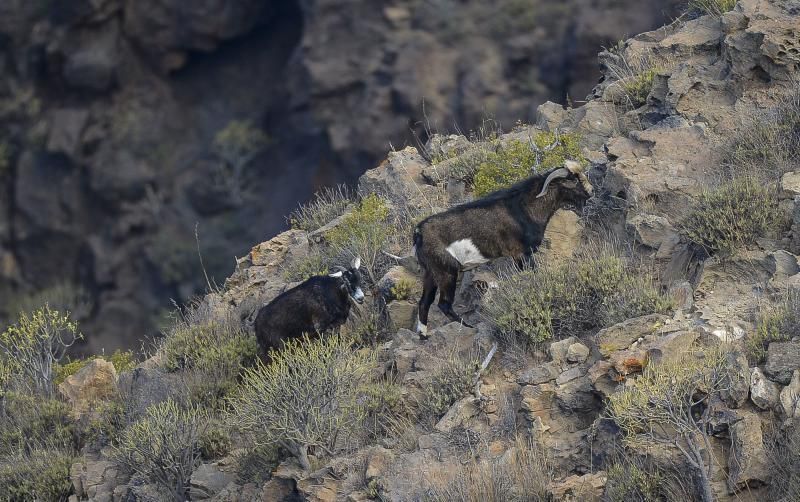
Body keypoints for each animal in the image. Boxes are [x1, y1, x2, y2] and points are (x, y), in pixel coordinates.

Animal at [413, 160, 593, 337]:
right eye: (574, 180)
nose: (591, 191)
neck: (525, 207)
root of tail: (419, 232)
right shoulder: (522, 254)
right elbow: (533, 275)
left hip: (430, 272)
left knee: (424, 302)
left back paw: (423, 334)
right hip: (446, 272)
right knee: (444, 304)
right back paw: (469, 326)